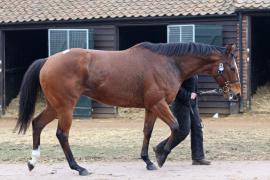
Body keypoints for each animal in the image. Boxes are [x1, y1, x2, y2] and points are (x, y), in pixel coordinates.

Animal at [14, 42, 239, 176]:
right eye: (232, 67)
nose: (236, 93)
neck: (168, 63)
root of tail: (48, 60)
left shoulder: (152, 107)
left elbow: (147, 132)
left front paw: (148, 160)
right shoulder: (159, 104)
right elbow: (177, 127)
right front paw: (161, 156)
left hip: (55, 106)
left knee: (37, 124)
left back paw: (33, 162)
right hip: (66, 107)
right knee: (62, 134)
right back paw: (78, 167)